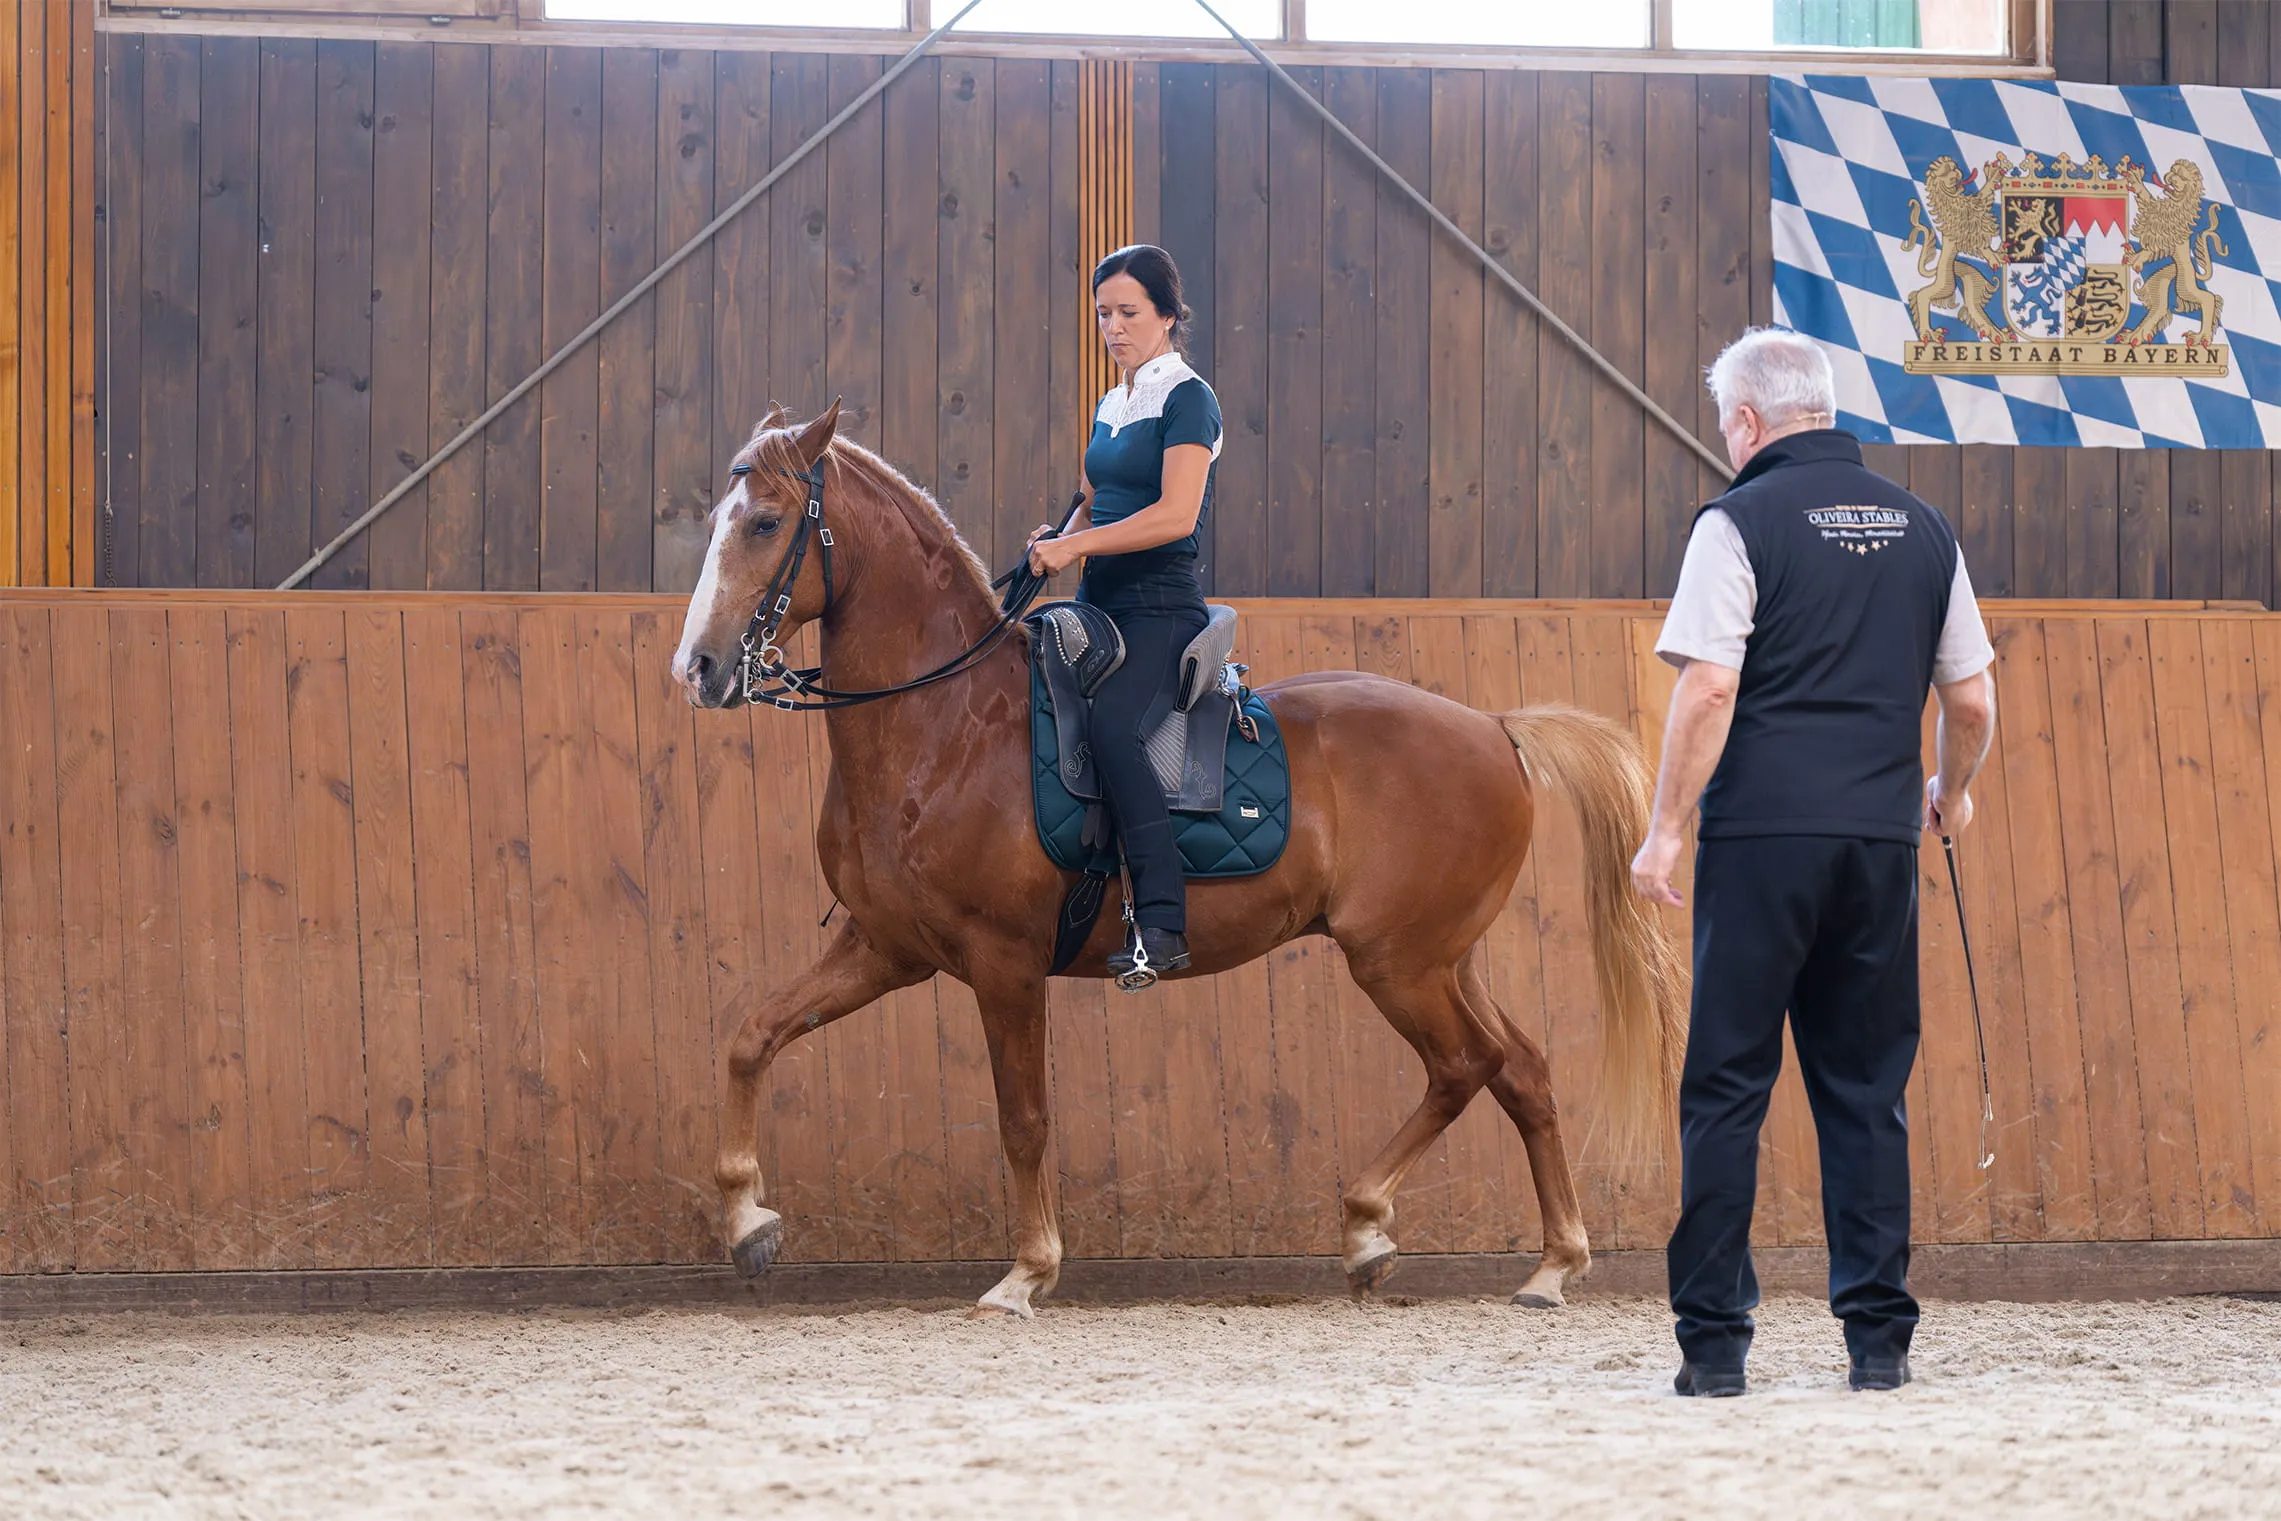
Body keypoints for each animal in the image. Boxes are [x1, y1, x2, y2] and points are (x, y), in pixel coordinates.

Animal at [670, 402, 1688, 1318]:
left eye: (764, 523)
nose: (701, 668)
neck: (945, 723)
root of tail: (1493, 726)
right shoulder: (884, 948)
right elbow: (751, 1036)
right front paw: (748, 1219)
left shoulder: (1003, 965)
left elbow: (1022, 1120)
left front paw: (1026, 1273)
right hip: (1442, 957)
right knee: (1518, 1069)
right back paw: (1537, 1261)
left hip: (1397, 961)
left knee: (1465, 1065)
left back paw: (1381, 1227)